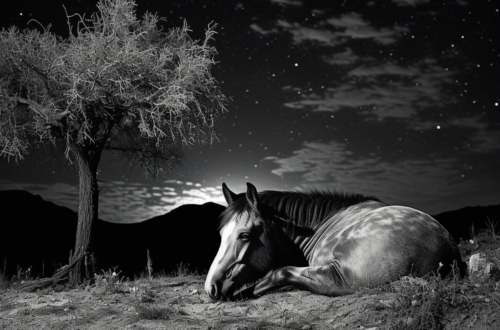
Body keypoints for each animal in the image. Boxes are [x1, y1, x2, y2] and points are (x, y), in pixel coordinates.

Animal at [202, 182, 464, 300]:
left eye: (244, 235)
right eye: (222, 235)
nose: (211, 287)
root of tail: (446, 251)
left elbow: (277, 273)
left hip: (340, 279)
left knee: (282, 273)